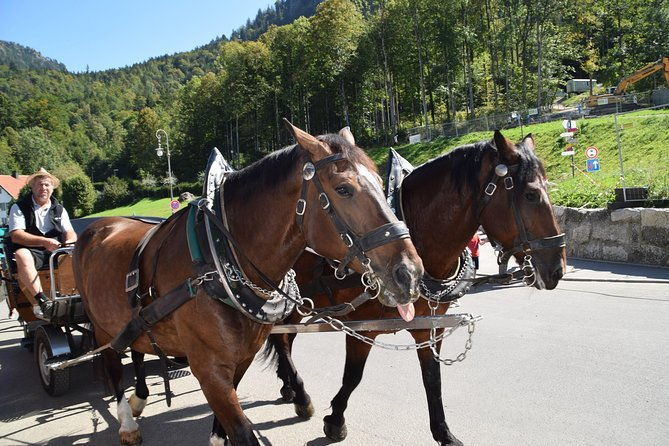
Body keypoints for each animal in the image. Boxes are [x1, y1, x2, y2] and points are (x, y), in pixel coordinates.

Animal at [72, 122, 424, 446]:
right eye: (343, 189)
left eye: (380, 182)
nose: (409, 273)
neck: (219, 264)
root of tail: (100, 225)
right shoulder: (209, 369)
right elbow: (241, 431)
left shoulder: (241, 358)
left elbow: (225, 425)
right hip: (100, 326)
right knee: (114, 363)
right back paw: (127, 422)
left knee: (138, 349)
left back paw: (140, 397)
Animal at [266, 130, 567, 445]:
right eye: (531, 194)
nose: (557, 269)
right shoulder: (364, 329)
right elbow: (353, 376)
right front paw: (335, 420)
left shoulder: (429, 326)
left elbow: (432, 378)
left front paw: (444, 433)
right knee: (282, 340)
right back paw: (300, 394)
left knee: (284, 339)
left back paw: (289, 387)